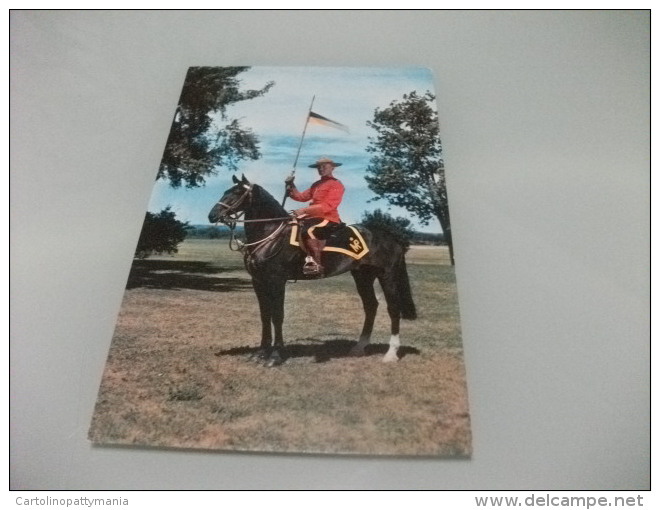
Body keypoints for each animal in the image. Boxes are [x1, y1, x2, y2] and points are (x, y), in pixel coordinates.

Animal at [209, 175, 416, 366]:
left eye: (237, 193)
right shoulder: (258, 282)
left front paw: (275, 356)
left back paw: (391, 353)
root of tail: (392, 236)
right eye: (226, 191)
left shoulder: (277, 281)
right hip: (363, 276)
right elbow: (265, 316)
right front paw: (260, 353)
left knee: (393, 308)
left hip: (386, 275)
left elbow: (277, 316)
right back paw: (359, 348)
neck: (271, 234)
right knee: (371, 306)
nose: (212, 215)